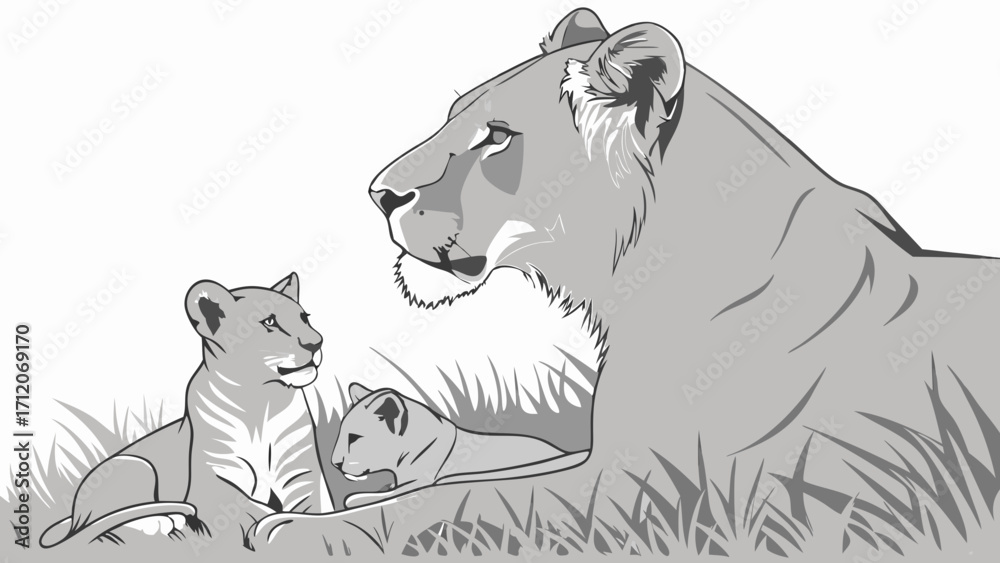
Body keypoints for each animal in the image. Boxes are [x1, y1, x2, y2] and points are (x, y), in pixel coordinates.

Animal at [41, 273, 335, 549]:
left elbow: (318, 510)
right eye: (269, 322)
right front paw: (271, 526)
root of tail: (74, 511)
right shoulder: (212, 484)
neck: (262, 400)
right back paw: (164, 522)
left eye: (304, 318)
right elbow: (253, 508)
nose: (317, 342)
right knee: (102, 525)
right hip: (136, 465)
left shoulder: (304, 474)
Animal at [250, 9, 1000, 555]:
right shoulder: (599, 451)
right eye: (453, 115)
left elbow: (457, 500)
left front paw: (291, 529)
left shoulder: (660, 479)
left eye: (497, 136)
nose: (379, 194)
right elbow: (482, 476)